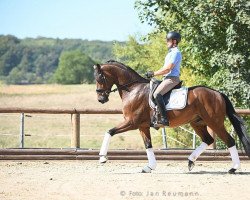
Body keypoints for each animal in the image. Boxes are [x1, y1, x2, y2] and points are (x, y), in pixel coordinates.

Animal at [93, 59, 249, 173]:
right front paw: (150, 167)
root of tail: (218, 93)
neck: (133, 89)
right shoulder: (142, 126)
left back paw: (233, 168)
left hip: (214, 122)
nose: (101, 99)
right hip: (197, 122)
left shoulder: (132, 122)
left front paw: (102, 158)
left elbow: (109, 132)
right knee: (208, 139)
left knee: (229, 141)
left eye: (100, 78)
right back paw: (190, 161)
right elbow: (148, 145)